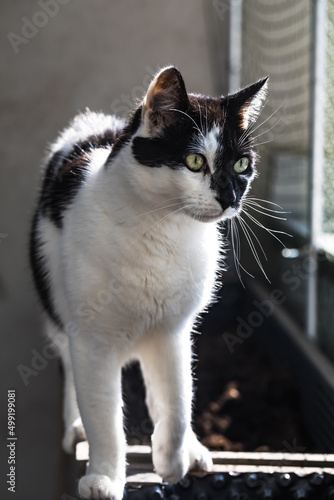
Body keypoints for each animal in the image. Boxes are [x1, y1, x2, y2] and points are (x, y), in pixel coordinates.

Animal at [30, 67, 268, 500]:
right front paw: (105, 477)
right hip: (59, 317)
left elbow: (176, 405)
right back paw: (75, 429)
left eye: (242, 163)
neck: (164, 230)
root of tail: (94, 120)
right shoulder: (92, 342)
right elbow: (104, 419)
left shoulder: (172, 333)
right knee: (72, 375)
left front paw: (172, 462)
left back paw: (193, 449)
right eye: (195, 161)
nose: (229, 195)